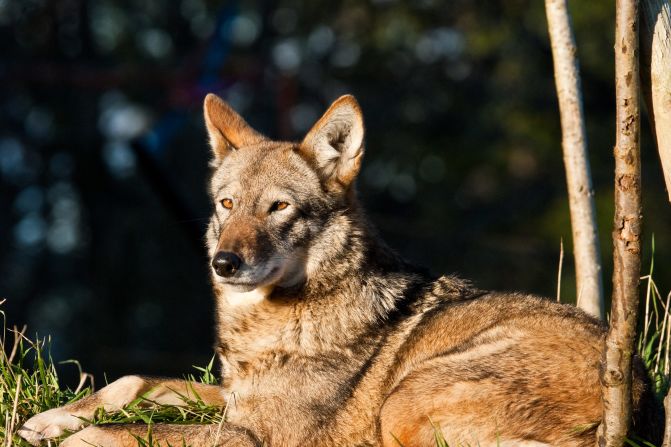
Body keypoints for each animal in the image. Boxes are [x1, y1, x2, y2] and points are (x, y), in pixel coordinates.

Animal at [19, 94, 660, 447]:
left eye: (279, 207)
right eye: (227, 203)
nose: (224, 262)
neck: (280, 320)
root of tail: (635, 393)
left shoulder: (255, 437)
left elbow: (123, 432)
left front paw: (69, 435)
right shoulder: (234, 398)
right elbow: (133, 383)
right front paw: (48, 419)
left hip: (401, 404)